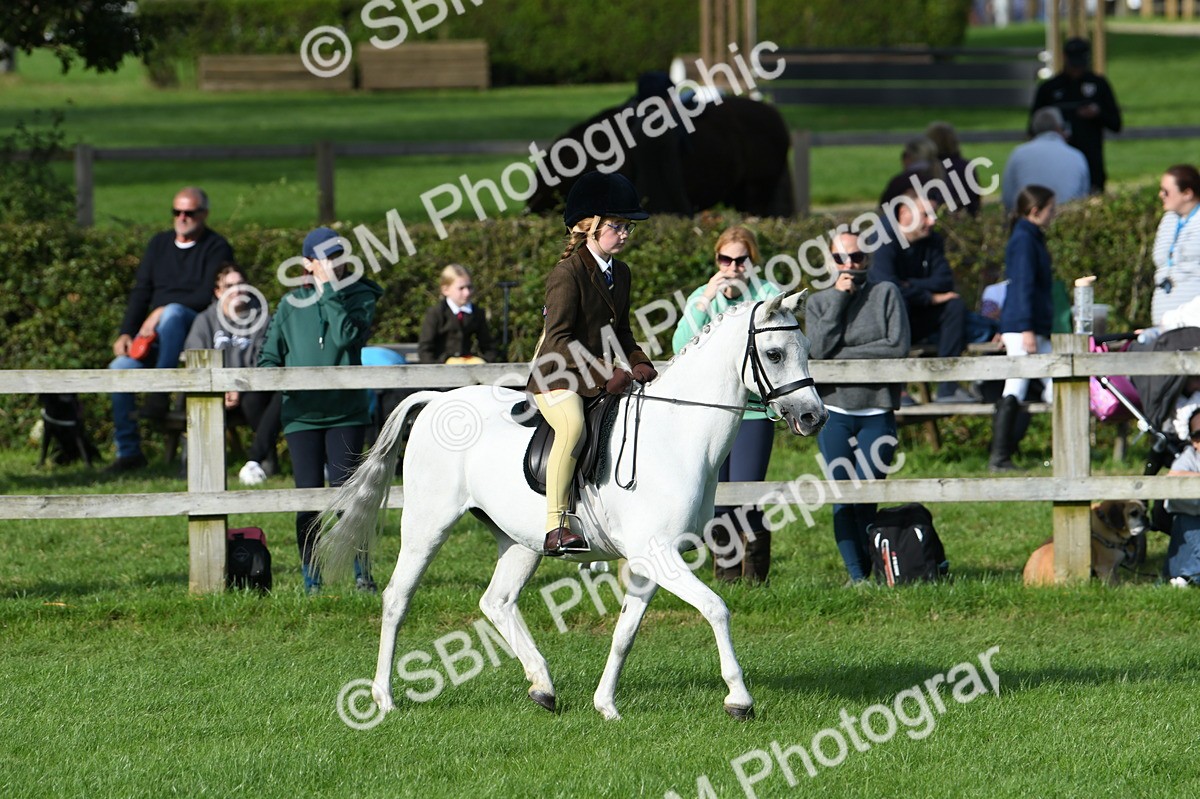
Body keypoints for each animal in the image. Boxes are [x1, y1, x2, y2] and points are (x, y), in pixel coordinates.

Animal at [316, 292, 827, 720]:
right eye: (775, 354)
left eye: (804, 348)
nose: (813, 417)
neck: (677, 434)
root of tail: (436, 400)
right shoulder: (658, 554)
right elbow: (716, 608)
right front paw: (739, 699)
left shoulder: (650, 562)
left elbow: (625, 632)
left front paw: (606, 706)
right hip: (428, 526)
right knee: (397, 599)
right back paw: (384, 698)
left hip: (521, 542)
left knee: (497, 601)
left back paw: (542, 686)